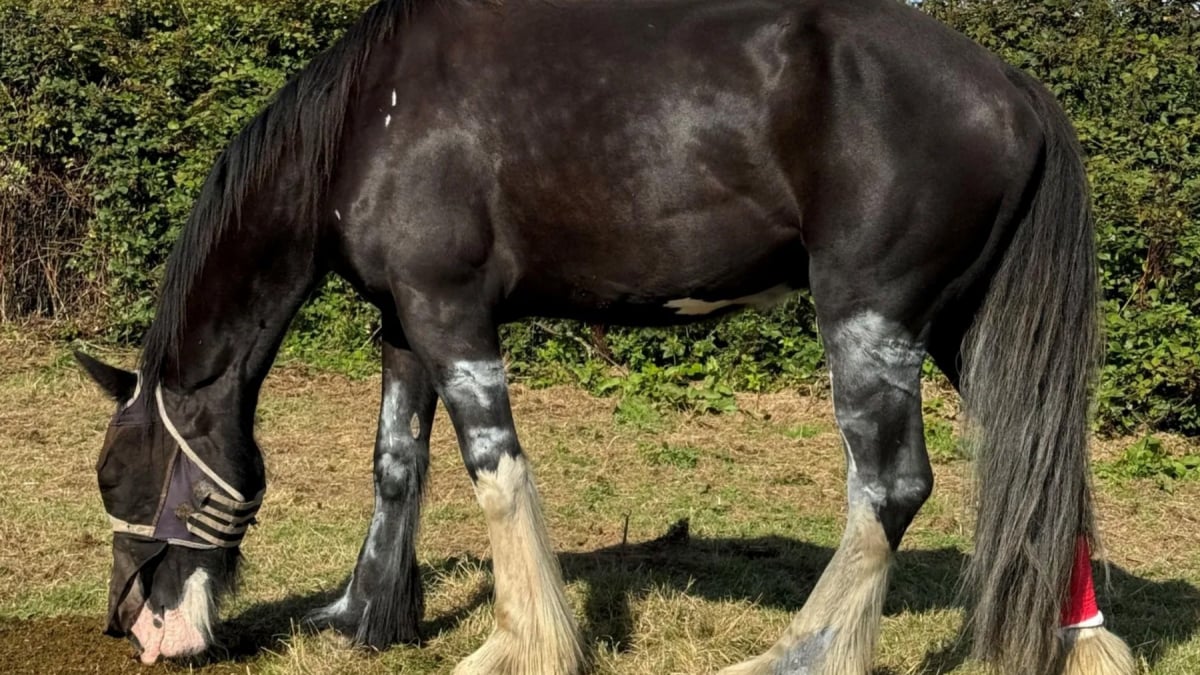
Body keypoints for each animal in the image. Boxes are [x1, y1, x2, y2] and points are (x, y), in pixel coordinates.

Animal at [77, 1, 1132, 672]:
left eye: (117, 477)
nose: (131, 627)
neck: (370, 118)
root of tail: (1013, 86)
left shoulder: (450, 313)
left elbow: (493, 467)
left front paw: (520, 643)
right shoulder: (403, 325)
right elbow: (396, 466)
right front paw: (364, 616)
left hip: (872, 316)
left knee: (891, 484)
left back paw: (800, 653)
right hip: (963, 326)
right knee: (1047, 460)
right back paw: (1083, 640)